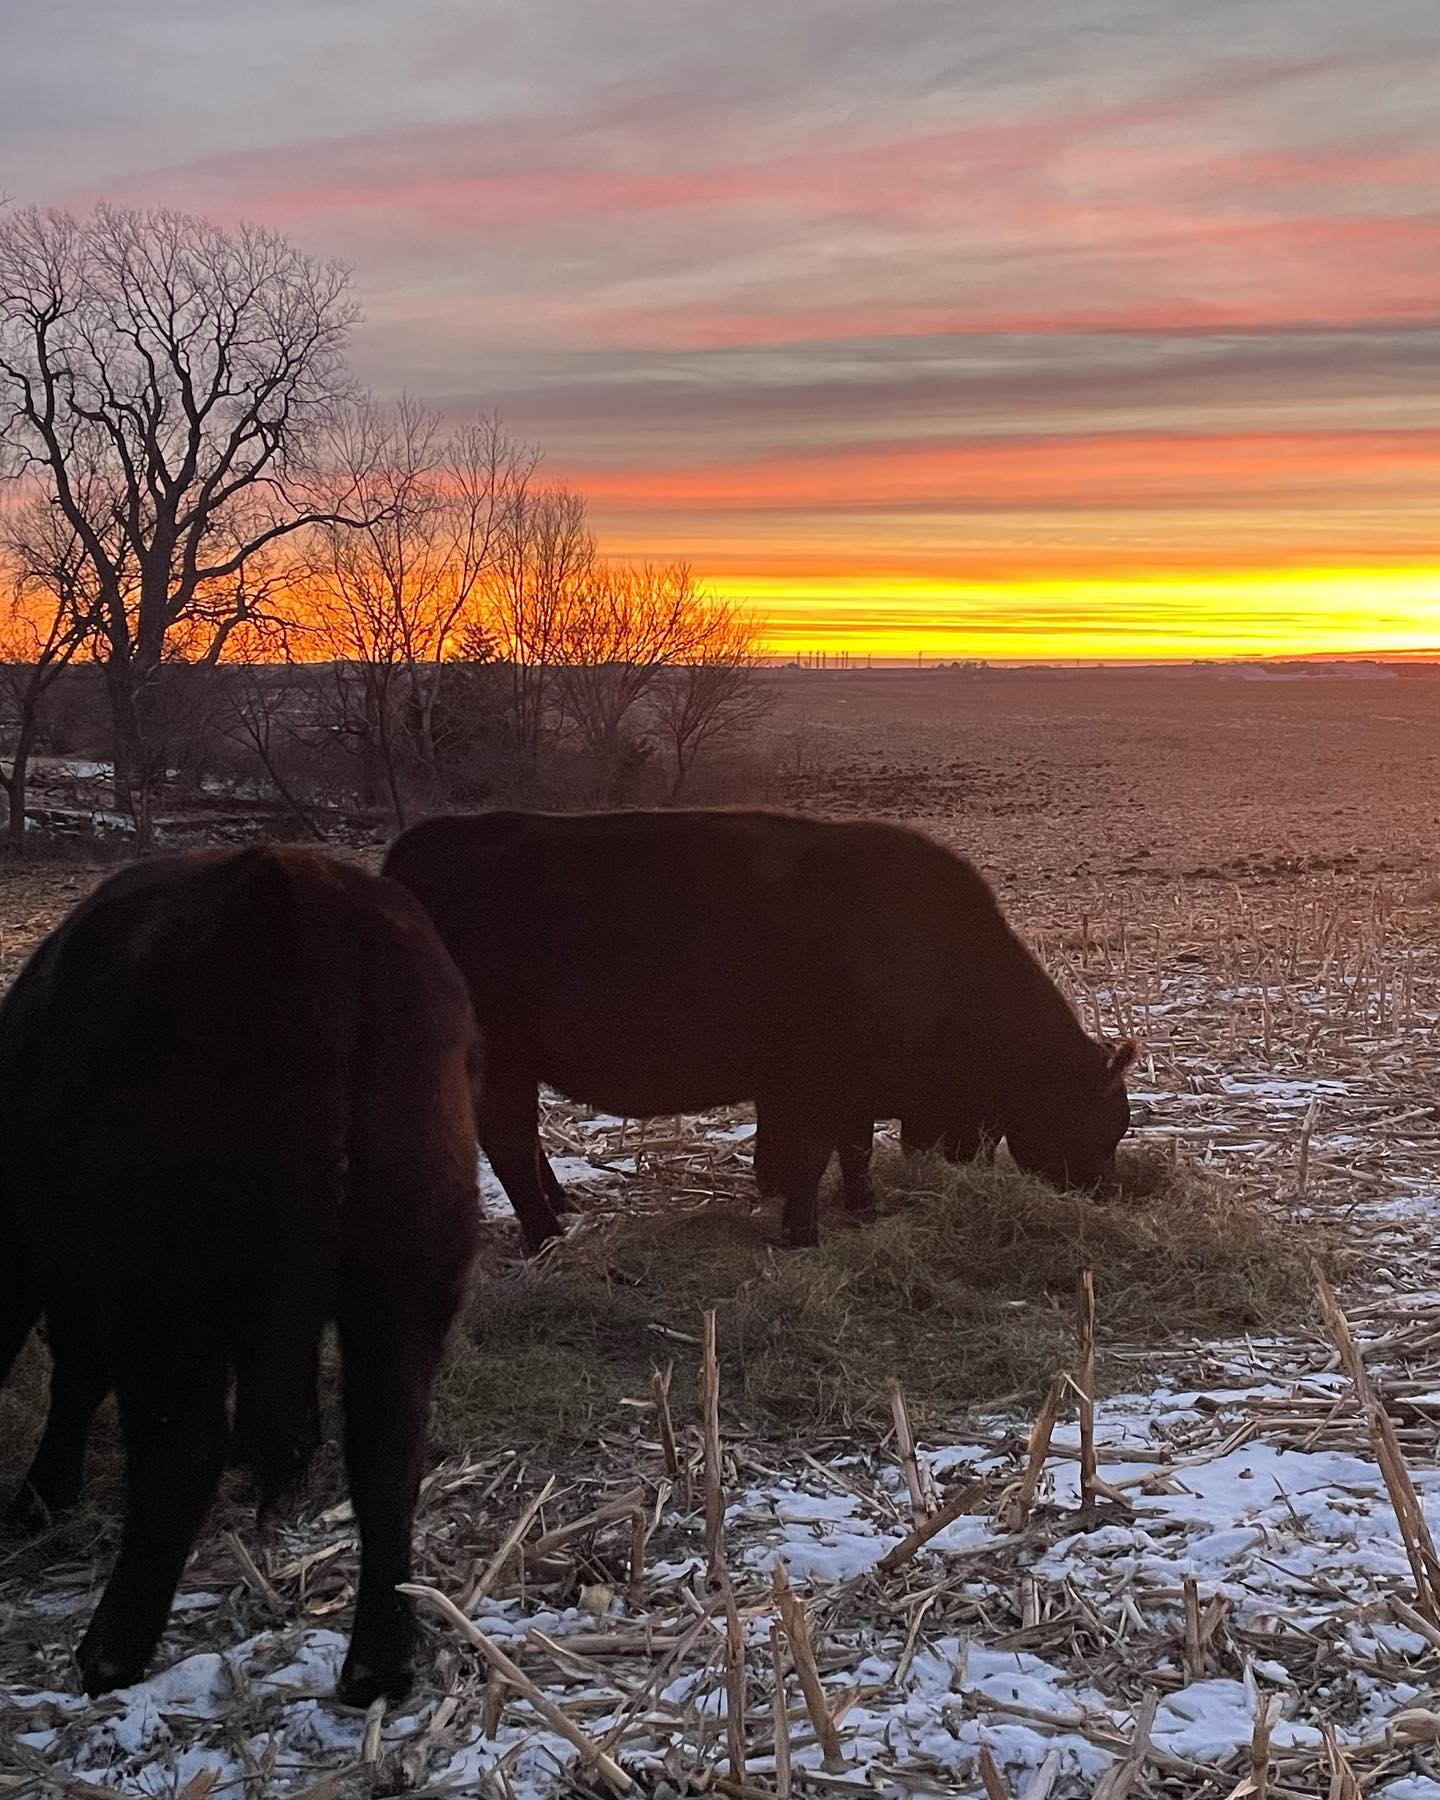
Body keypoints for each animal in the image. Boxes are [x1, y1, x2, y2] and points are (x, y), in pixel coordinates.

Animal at [0, 845, 481, 1707]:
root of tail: (287, 888)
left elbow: (72, 1370)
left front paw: (39, 1496)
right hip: (409, 1255)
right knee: (389, 1442)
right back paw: (378, 1664)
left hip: (157, 1273)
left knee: (181, 1446)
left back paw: (111, 1651)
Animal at [382, 809, 1135, 1250]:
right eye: (1102, 1123)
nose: (1103, 1193)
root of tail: (427, 841)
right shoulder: (814, 1084)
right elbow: (808, 1156)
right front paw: (802, 1232)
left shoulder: (850, 1087)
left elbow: (853, 1150)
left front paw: (863, 1209)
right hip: (499, 1062)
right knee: (507, 1142)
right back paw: (543, 1234)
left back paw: (561, 1206)